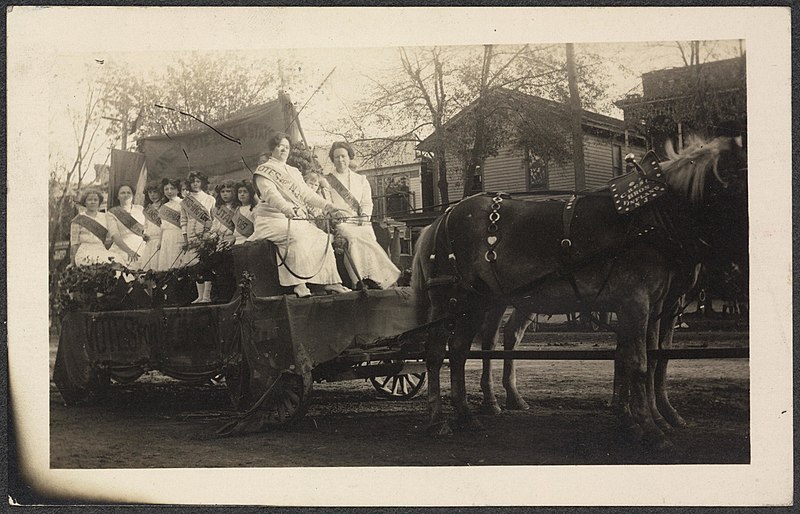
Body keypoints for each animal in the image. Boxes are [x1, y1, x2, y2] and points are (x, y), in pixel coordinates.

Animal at [412, 135, 752, 444]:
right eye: (737, 185)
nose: (738, 271)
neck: (649, 220)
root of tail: (443, 217)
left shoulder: (655, 306)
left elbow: (649, 358)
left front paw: (645, 419)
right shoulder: (636, 303)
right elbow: (640, 363)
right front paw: (649, 428)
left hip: (479, 301)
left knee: (462, 350)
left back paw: (468, 415)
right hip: (450, 299)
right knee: (437, 352)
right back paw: (439, 419)